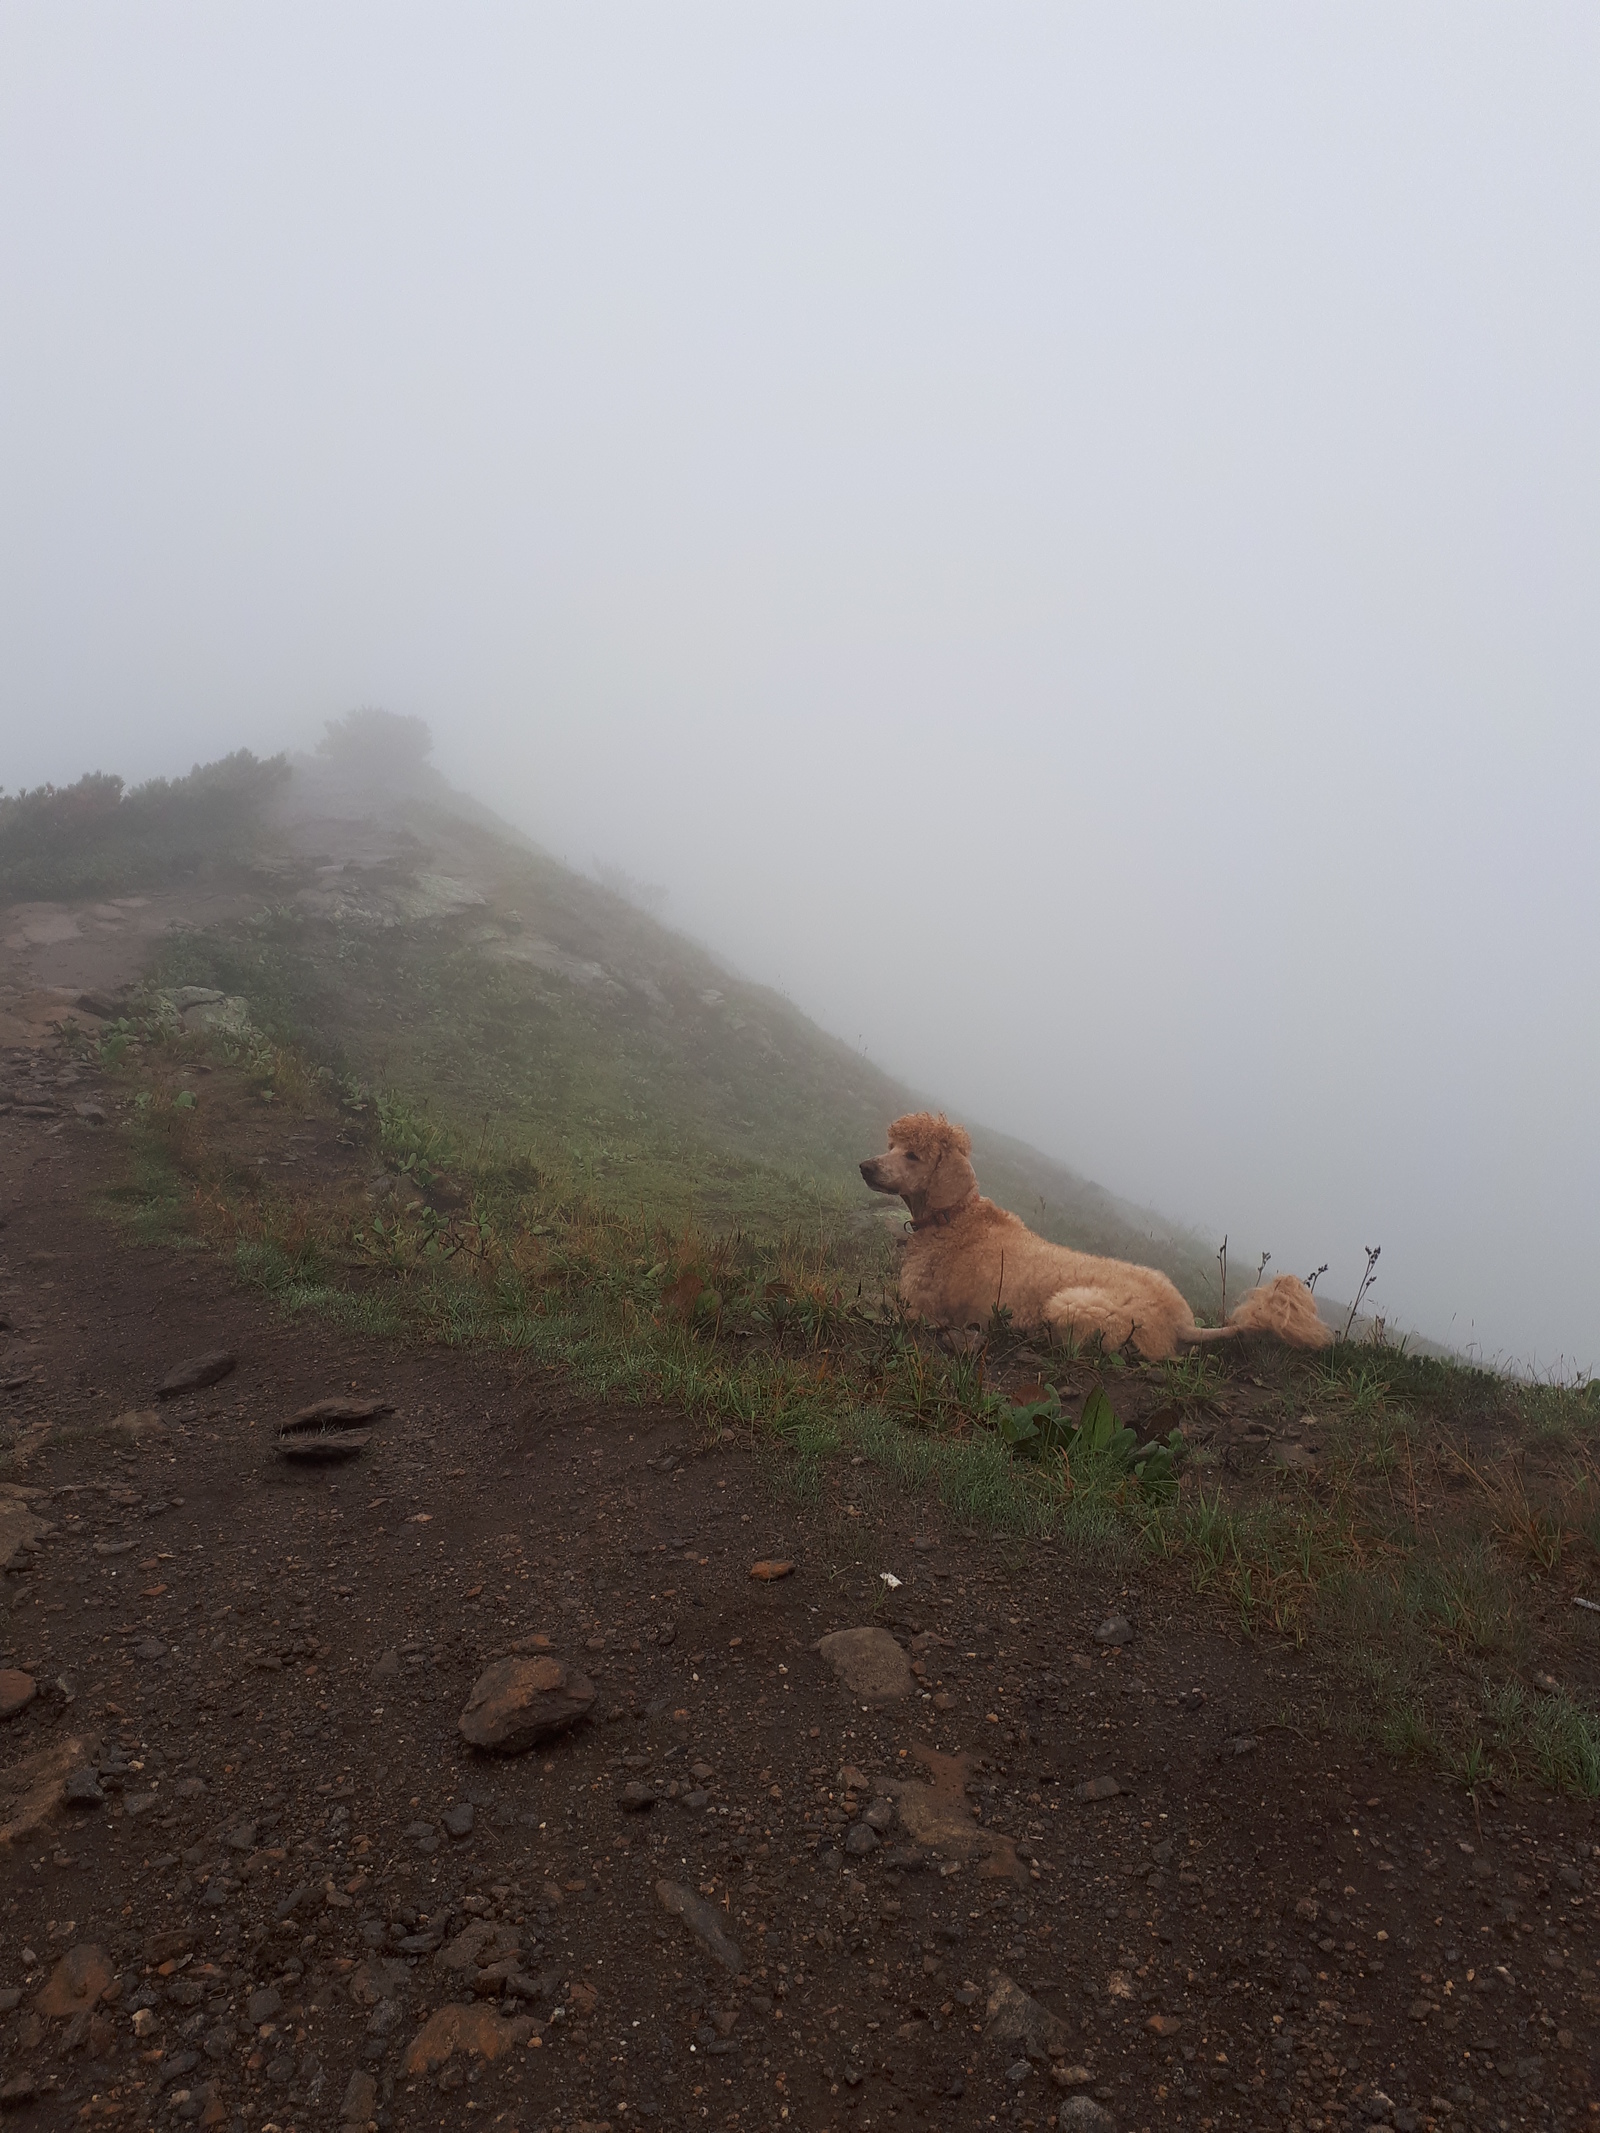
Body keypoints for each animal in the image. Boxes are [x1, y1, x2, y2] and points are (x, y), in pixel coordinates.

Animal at [866, 1109, 1339, 1356]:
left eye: (912, 1155)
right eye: (891, 1146)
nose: (865, 1166)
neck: (954, 1218)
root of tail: (1180, 1321)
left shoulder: (919, 1306)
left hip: (1072, 1307)